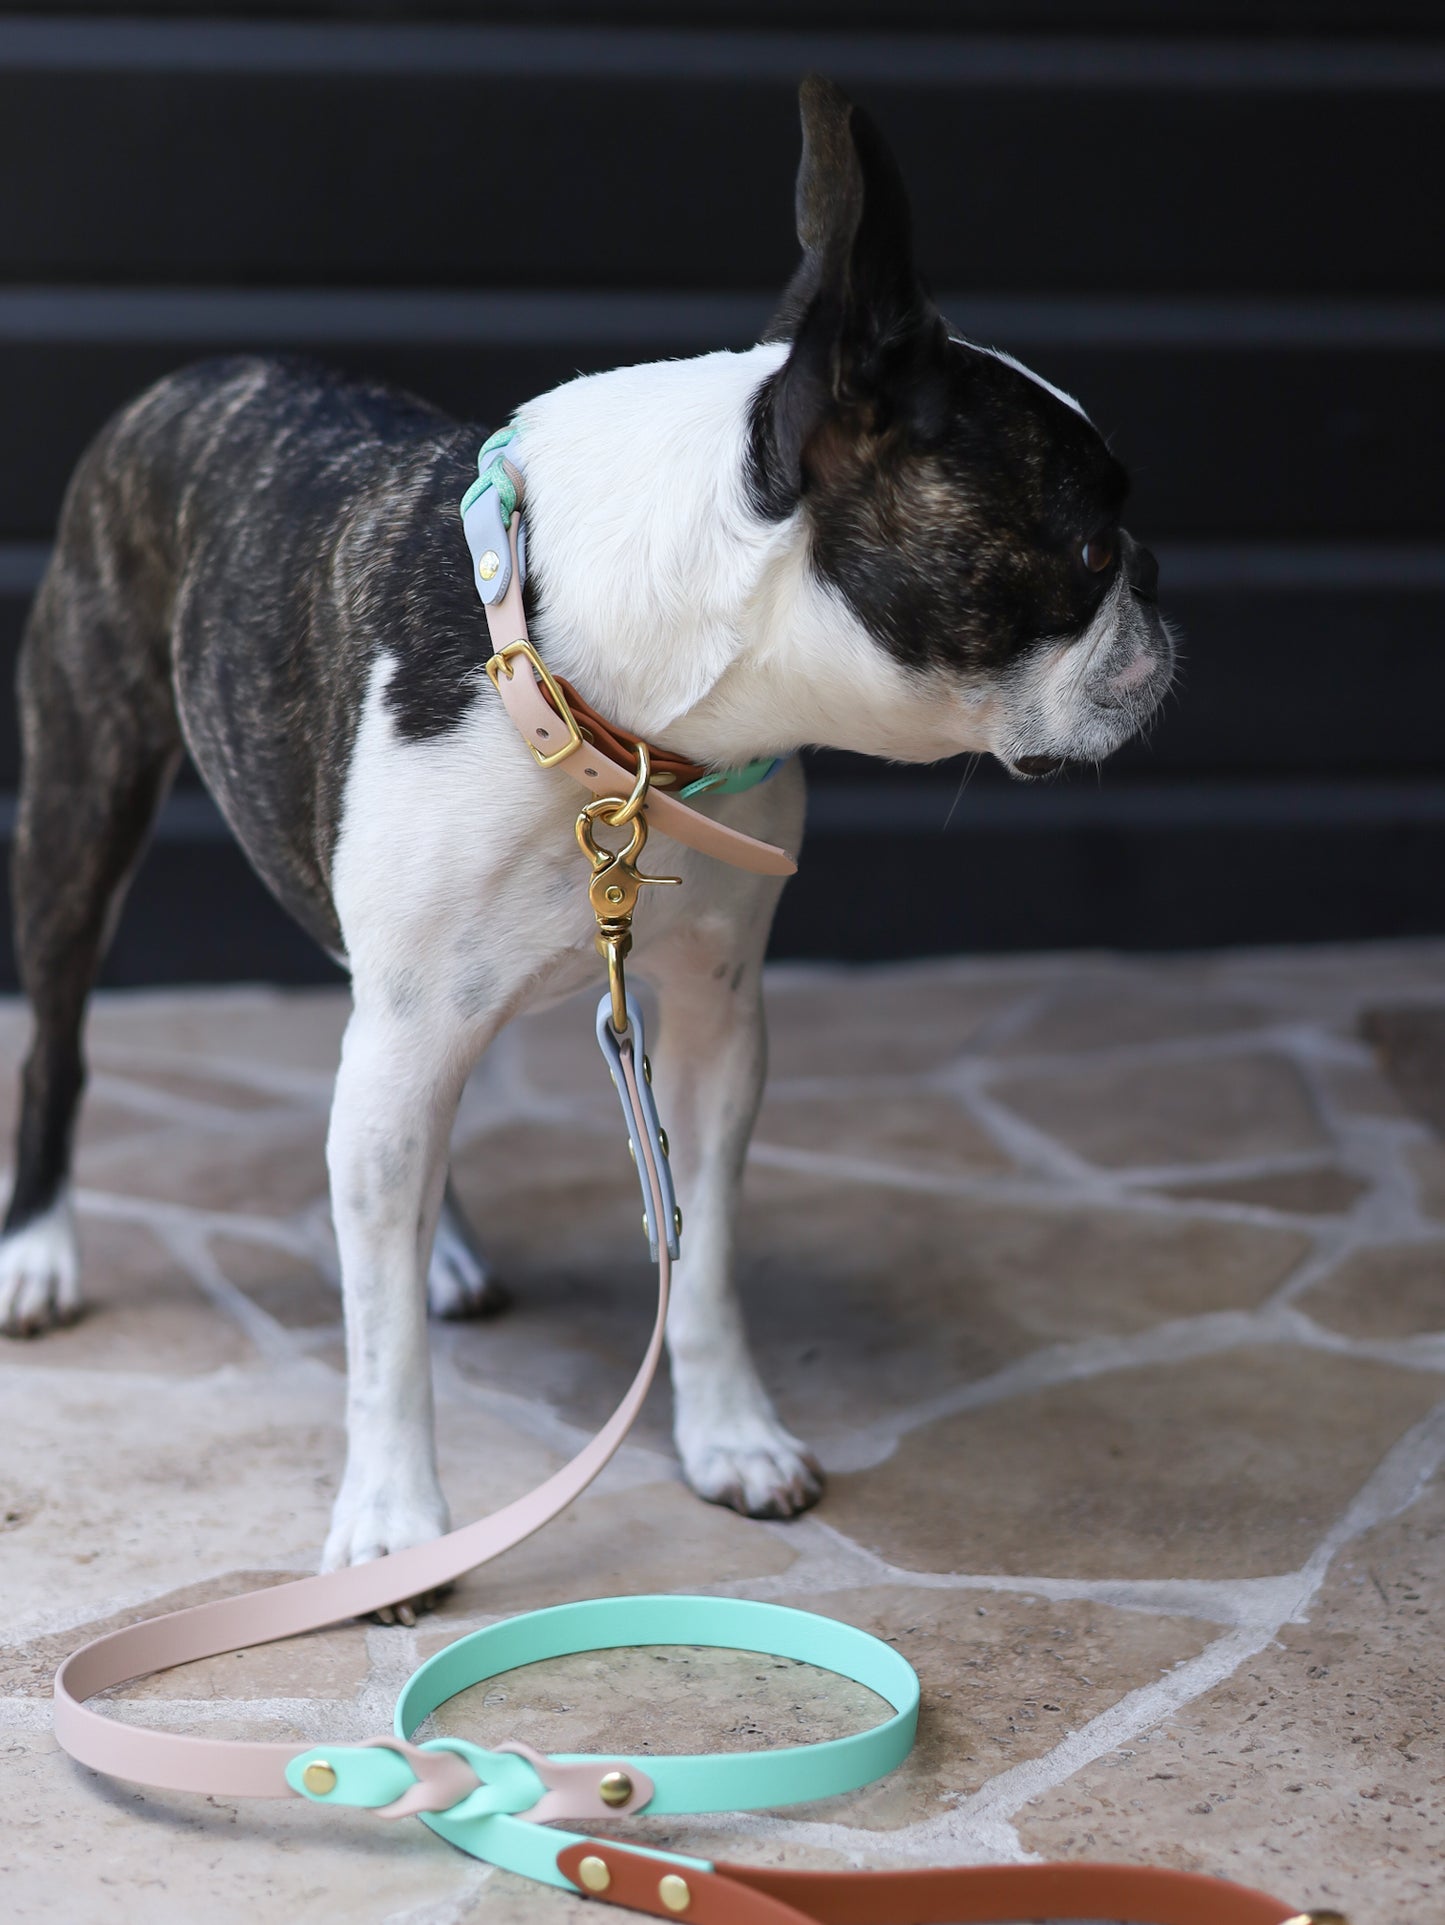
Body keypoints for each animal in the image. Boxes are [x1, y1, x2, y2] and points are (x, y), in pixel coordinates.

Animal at [0, 82, 1177, 1570]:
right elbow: (379, 1340)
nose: (1159, 597)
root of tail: (198, 374)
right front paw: (394, 1518)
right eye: (1088, 552)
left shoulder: (714, 1016)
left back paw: (440, 1247)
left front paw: (729, 1434)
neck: (615, 706)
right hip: (82, 807)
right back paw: (41, 1248)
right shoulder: (412, 1022)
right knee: (66, 1043)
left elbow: (704, 1248)